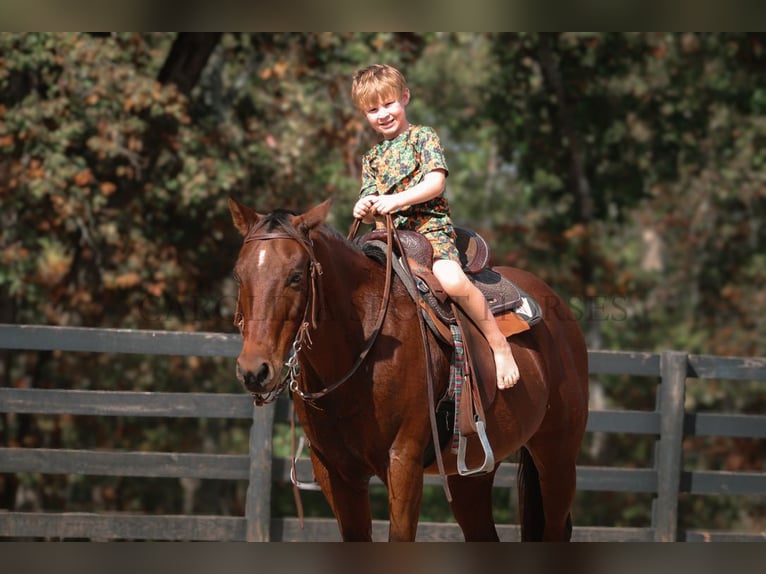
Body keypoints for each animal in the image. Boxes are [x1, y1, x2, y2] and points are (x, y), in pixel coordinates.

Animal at [228, 199, 588, 544]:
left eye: (296, 276)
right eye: (238, 275)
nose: (254, 370)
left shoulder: (404, 461)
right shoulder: (336, 472)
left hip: (557, 458)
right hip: (471, 473)